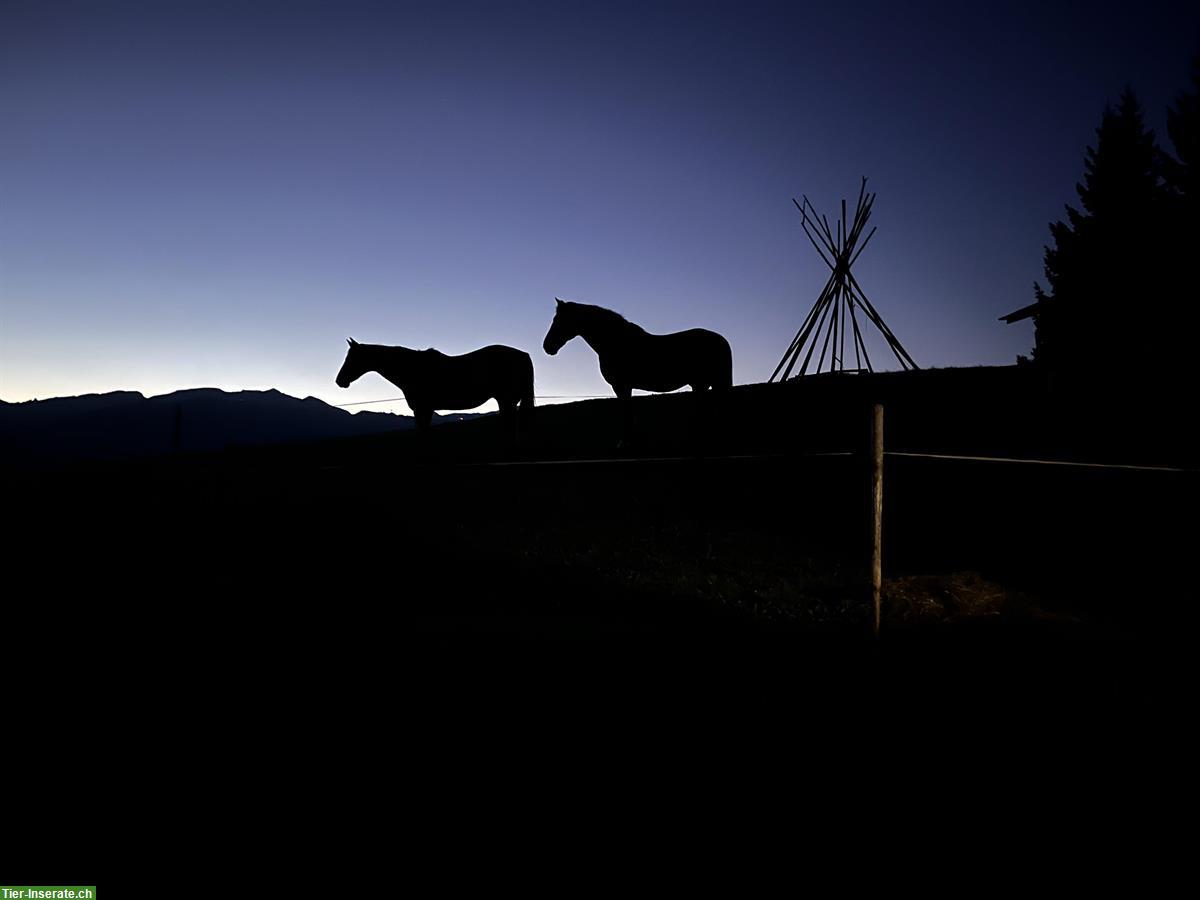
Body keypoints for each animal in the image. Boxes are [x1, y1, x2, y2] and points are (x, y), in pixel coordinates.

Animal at [331, 340, 532, 434]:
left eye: (352, 358)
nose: (340, 381)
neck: (413, 368)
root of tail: (523, 354)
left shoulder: (423, 409)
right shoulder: (424, 410)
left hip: (507, 400)